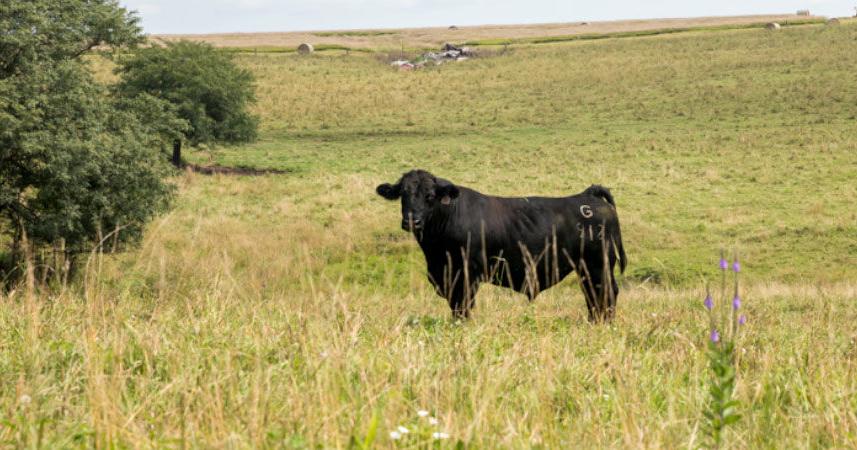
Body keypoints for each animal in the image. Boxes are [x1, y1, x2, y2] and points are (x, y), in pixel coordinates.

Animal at [376, 169, 627, 322]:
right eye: (403, 194)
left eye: (429, 196)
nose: (412, 220)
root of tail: (588, 196)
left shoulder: (466, 275)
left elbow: (463, 306)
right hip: (586, 268)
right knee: (592, 295)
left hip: (598, 266)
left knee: (606, 292)